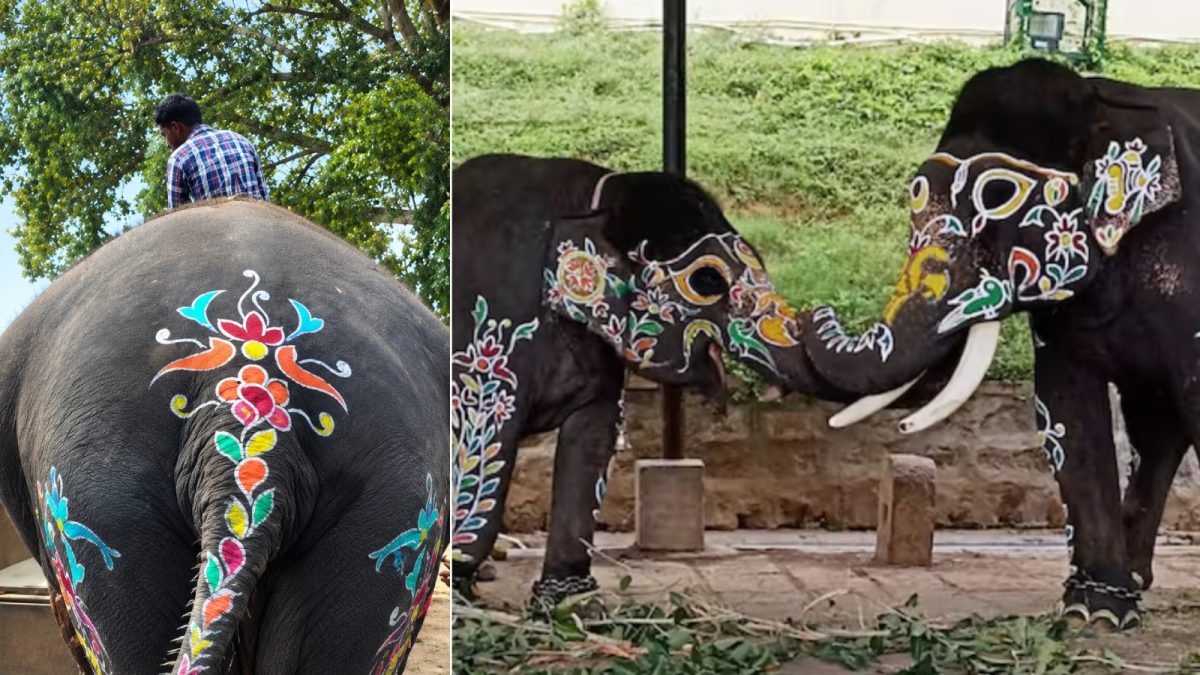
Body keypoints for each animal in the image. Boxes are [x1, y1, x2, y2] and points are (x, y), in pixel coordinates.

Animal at [450, 154, 844, 606]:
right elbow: (489, 434)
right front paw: (464, 587)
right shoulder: (492, 330)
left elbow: (592, 438)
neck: (591, 199)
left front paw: (573, 605)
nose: (819, 312)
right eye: (708, 281)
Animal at [810, 58, 1200, 629]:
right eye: (916, 194)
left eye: (997, 195)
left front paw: (1098, 607)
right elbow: (1066, 412)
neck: (1104, 102)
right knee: (1157, 432)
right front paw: (1094, 612)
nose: (818, 311)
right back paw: (1135, 580)